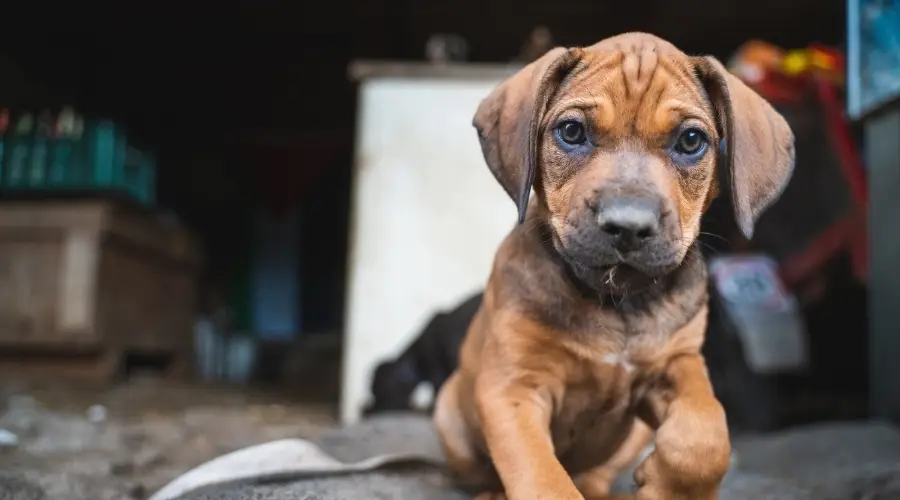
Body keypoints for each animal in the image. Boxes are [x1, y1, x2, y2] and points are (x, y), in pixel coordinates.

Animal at [432, 32, 792, 500]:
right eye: (571, 132)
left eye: (691, 140)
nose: (628, 226)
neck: (614, 299)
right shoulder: (512, 388)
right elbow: (543, 478)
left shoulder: (680, 360)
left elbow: (706, 432)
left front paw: (669, 486)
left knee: (595, 477)